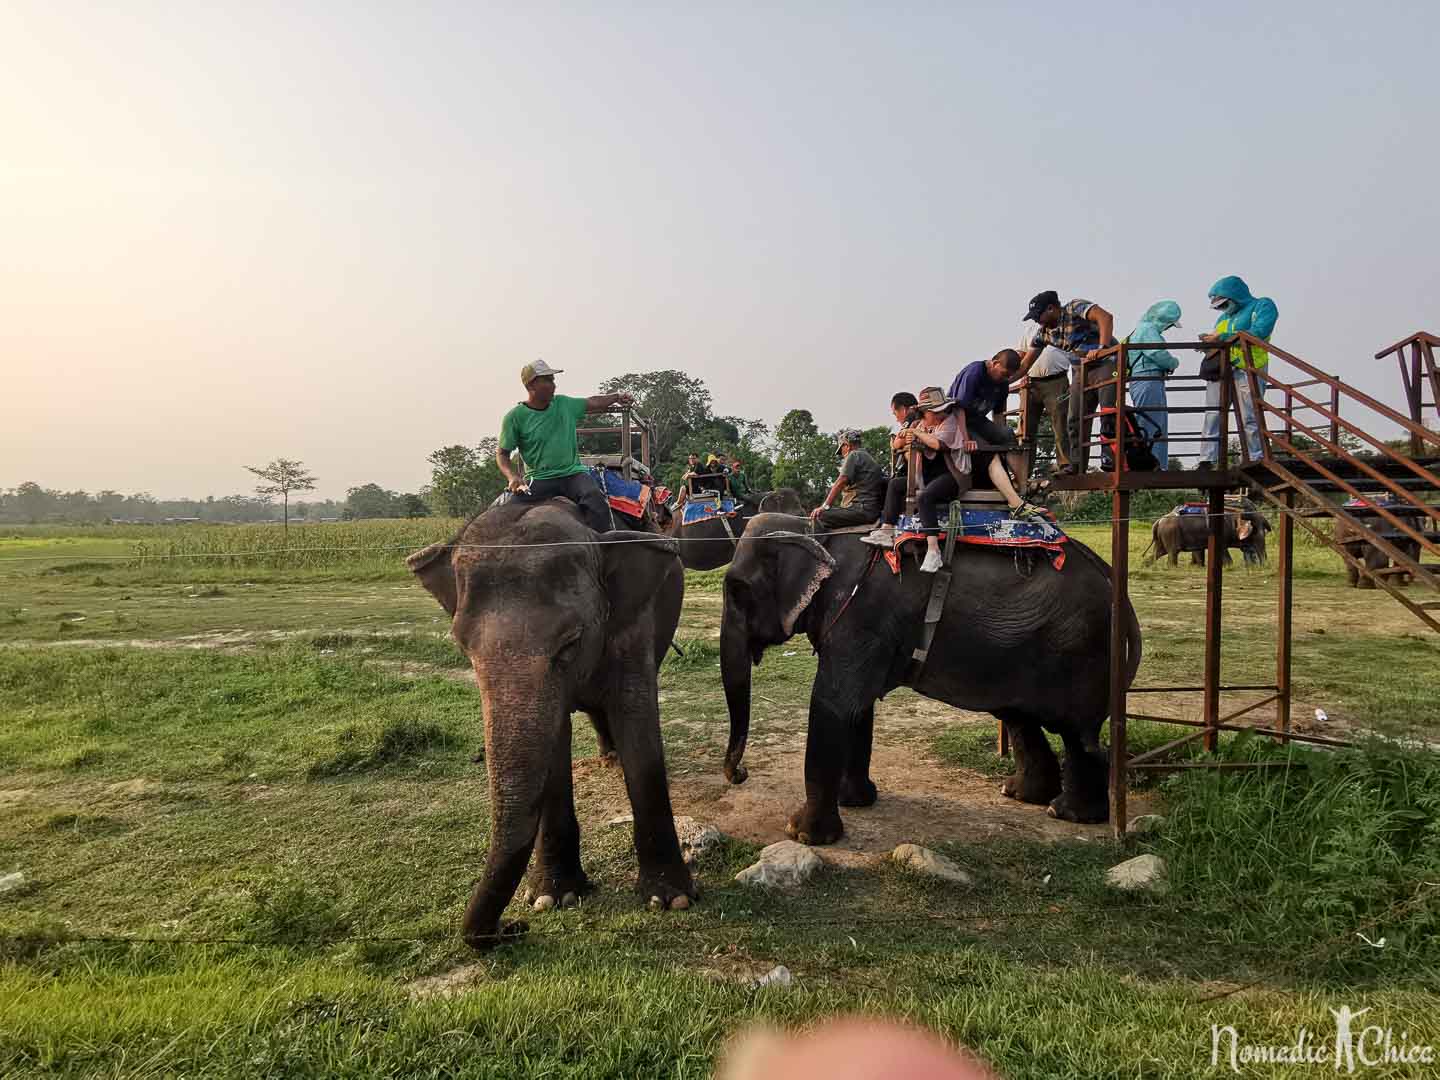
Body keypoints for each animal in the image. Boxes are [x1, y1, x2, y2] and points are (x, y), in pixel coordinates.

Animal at [406, 504, 696, 950]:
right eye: (461, 646)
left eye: (570, 643)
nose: (510, 928)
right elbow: (556, 741)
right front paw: (552, 898)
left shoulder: (634, 625)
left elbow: (636, 718)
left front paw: (671, 899)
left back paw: (613, 757)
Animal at [717, 512, 1134, 840]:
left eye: (737, 591)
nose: (741, 774)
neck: (813, 530)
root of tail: (1111, 577)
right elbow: (857, 708)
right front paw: (856, 802)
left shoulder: (860, 615)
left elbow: (832, 704)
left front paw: (802, 834)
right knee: (1019, 715)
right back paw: (1022, 795)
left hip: (1079, 647)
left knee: (1075, 732)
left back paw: (1068, 813)